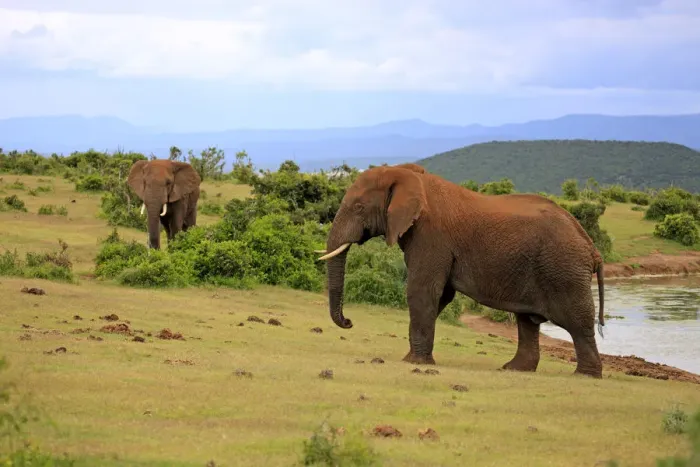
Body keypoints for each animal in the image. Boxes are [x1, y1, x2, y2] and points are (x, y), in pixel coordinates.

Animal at [317, 164, 606, 378]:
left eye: (358, 208)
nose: (349, 322)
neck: (407, 175)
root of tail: (591, 247)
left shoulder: (430, 235)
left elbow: (422, 290)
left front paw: (413, 362)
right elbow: (441, 295)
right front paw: (415, 357)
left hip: (564, 270)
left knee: (576, 321)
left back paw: (585, 375)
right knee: (527, 320)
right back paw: (513, 370)